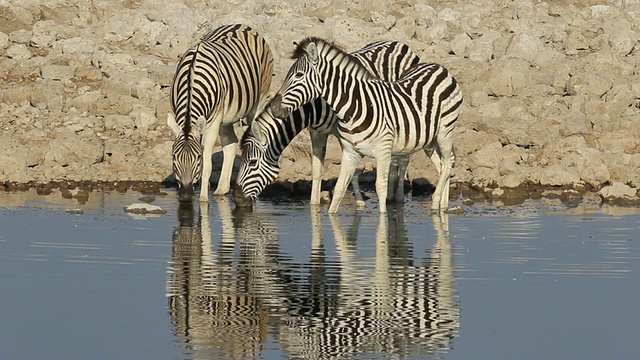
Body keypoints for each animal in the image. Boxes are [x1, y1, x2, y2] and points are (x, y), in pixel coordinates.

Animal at [166, 23, 274, 201]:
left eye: (198, 157)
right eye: (174, 156)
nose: (186, 195)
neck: (191, 81)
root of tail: (242, 25)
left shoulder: (213, 122)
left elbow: (207, 166)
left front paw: (203, 201)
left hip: (258, 100)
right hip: (227, 116)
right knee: (230, 142)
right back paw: (222, 189)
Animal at [232, 40, 422, 207]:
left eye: (252, 163)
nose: (237, 199)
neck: (314, 106)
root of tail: (399, 43)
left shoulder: (345, 133)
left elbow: (352, 171)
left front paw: (359, 200)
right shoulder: (317, 132)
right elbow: (317, 170)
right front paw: (314, 206)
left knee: (404, 158)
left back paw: (397, 197)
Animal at [272, 37, 464, 214]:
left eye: (298, 75)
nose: (273, 107)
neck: (355, 107)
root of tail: (438, 66)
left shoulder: (384, 150)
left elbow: (380, 188)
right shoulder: (350, 153)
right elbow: (340, 188)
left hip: (445, 131)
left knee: (448, 163)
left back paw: (436, 201)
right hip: (428, 139)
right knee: (442, 164)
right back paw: (443, 204)